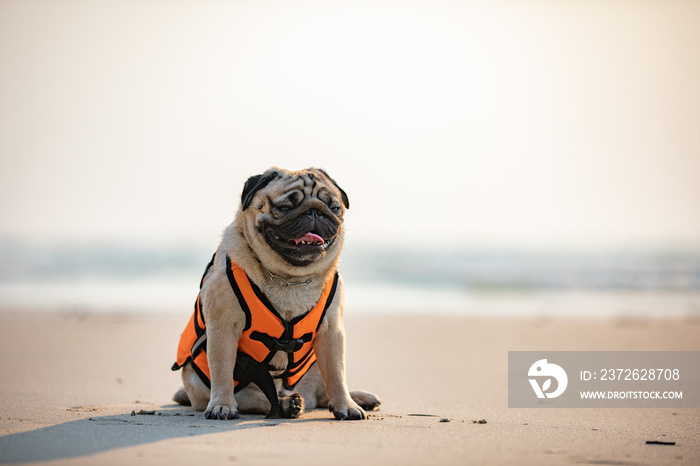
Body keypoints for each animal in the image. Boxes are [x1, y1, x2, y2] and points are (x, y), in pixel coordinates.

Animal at [172, 167, 380, 418]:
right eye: (285, 207)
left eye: (334, 208)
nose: (315, 211)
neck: (291, 278)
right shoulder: (223, 328)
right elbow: (222, 371)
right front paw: (222, 405)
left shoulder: (332, 331)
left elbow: (337, 374)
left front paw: (346, 406)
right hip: (204, 384)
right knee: (255, 398)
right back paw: (286, 404)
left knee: (324, 390)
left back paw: (359, 397)